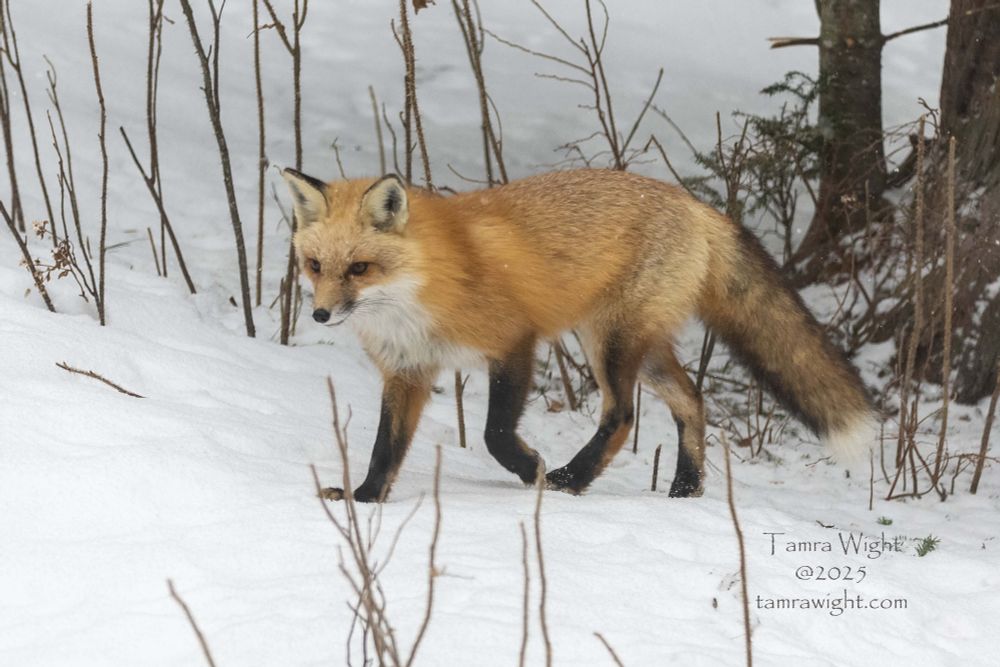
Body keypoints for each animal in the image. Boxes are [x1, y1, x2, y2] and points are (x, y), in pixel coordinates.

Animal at [282, 167, 875, 503]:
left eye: (359, 269)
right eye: (315, 265)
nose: (321, 315)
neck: (419, 286)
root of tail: (697, 205)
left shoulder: (514, 342)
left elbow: (495, 434)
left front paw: (533, 469)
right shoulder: (408, 371)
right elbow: (386, 448)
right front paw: (364, 499)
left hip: (608, 343)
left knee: (623, 415)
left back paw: (571, 479)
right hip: (639, 347)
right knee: (693, 400)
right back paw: (686, 488)